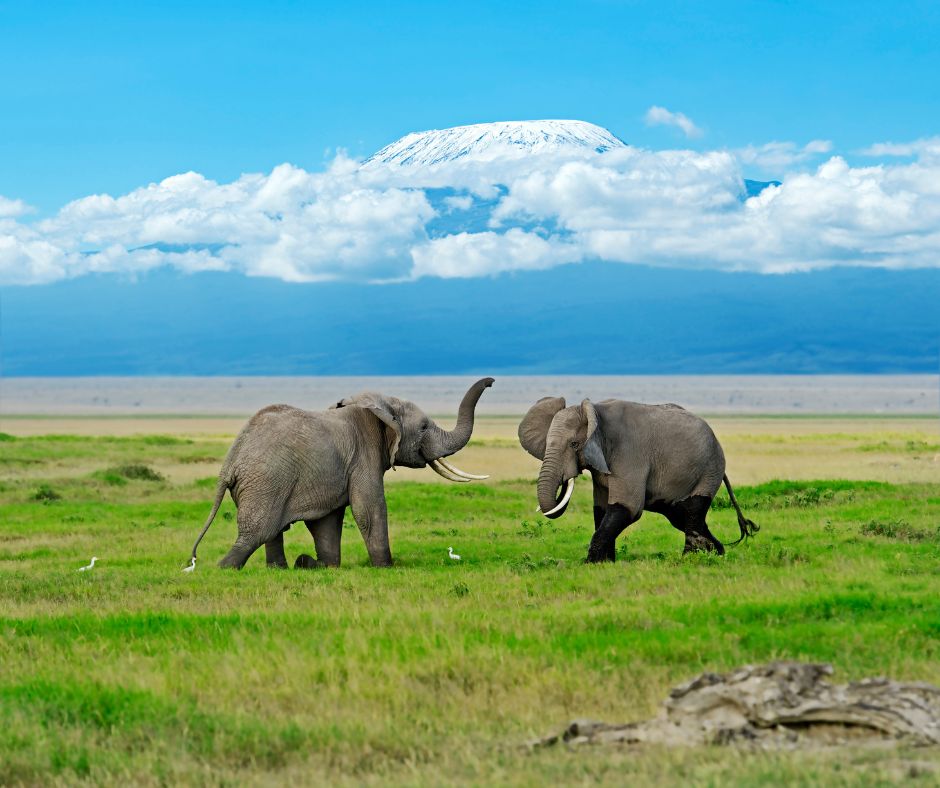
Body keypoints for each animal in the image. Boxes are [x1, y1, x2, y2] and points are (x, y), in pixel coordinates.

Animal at [188, 378, 496, 568]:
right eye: (423, 428)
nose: (491, 382)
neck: (381, 407)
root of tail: (231, 460)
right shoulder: (364, 455)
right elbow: (369, 508)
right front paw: (386, 567)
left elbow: (328, 521)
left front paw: (322, 565)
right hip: (266, 481)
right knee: (257, 532)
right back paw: (224, 568)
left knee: (271, 532)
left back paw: (284, 568)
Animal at [516, 400, 760, 560]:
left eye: (574, 445)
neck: (594, 411)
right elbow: (601, 510)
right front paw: (605, 563)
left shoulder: (629, 454)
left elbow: (627, 507)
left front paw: (590, 563)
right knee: (682, 516)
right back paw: (717, 553)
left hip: (709, 469)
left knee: (691, 512)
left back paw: (691, 559)